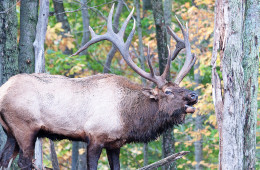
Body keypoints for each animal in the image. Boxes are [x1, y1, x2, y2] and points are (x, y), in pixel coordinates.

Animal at [0, 3, 197, 170]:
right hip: (25, 126)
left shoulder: (115, 144)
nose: (194, 95)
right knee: (24, 162)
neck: (128, 118)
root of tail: (3, 89)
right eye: (168, 91)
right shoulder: (95, 135)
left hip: (10, 131)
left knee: (4, 159)